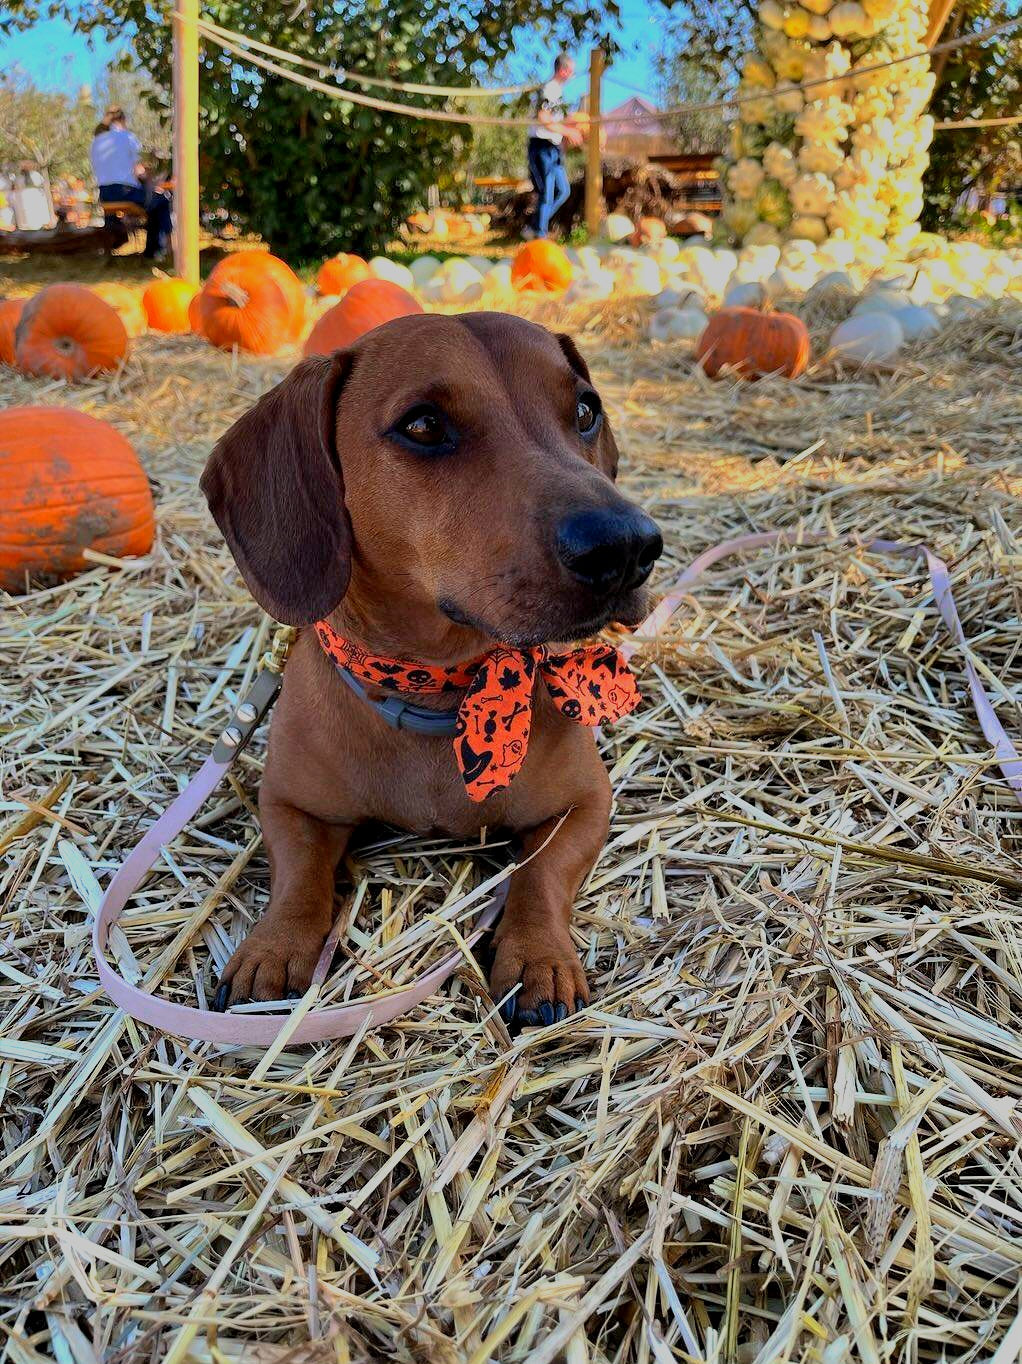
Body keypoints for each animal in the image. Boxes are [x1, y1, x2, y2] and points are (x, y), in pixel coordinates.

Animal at [201, 312, 663, 1025]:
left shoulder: (586, 803)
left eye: (586, 411)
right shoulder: (288, 804)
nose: (628, 546)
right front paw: (273, 947)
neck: (443, 694)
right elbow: (299, 874)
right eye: (423, 425)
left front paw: (540, 956)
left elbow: (541, 874)